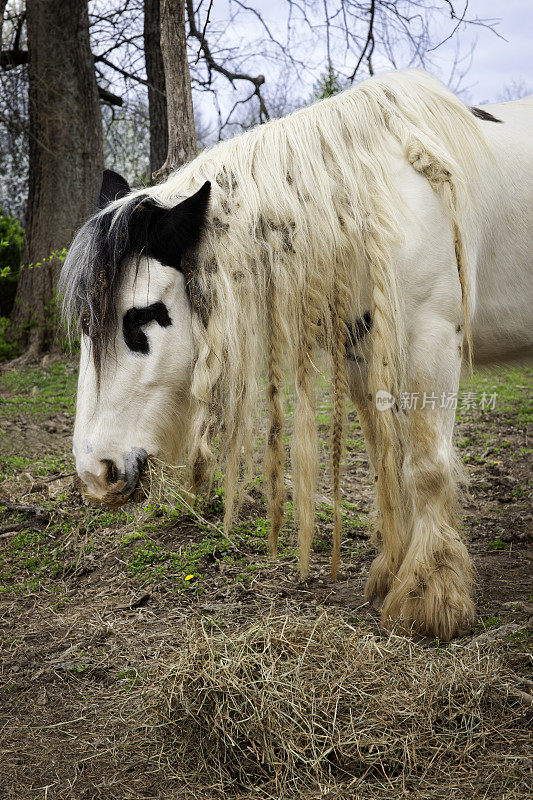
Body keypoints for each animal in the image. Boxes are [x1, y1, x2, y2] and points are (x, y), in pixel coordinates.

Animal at [59, 72, 532, 640]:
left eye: (141, 316)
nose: (96, 471)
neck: (374, 198)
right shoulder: (362, 349)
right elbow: (387, 460)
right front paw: (393, 572)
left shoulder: (432, 341)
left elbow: (426, 466)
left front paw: (431, 598)